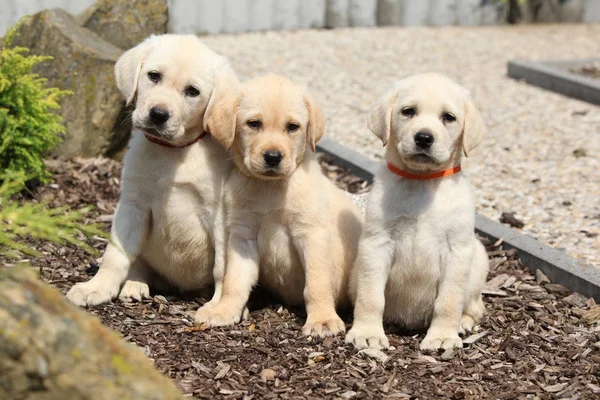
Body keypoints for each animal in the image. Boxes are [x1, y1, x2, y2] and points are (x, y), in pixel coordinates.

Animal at [65, 35, 234, 310]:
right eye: (154, 76)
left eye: (193, 91)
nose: (158, 115)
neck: (173, 152)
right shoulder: (133, 205)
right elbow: (116, 254)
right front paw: (97, 287)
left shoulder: (220, 216)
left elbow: (223, 267)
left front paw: (219, 306)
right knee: (139, 263)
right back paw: (135, 284)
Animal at [193, 73, 360, 336]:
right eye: (253, 124)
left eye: (292, 127)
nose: (273, 157)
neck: (269, 188)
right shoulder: (242, 236)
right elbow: (234, 280)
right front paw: (224, 310)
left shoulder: (311, 234)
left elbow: (317, 283)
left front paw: (322, 319)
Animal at [344, 74, 490, 350]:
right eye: (408, 111)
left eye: (448, 117)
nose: (424, 138)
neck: (421, 182)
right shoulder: (377, 244)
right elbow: (371, 296)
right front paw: (367, 332)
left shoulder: (457, 249)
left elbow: (449, 300)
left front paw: (443, 336)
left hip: (479, 260)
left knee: (475, 306)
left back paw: (463, 323)